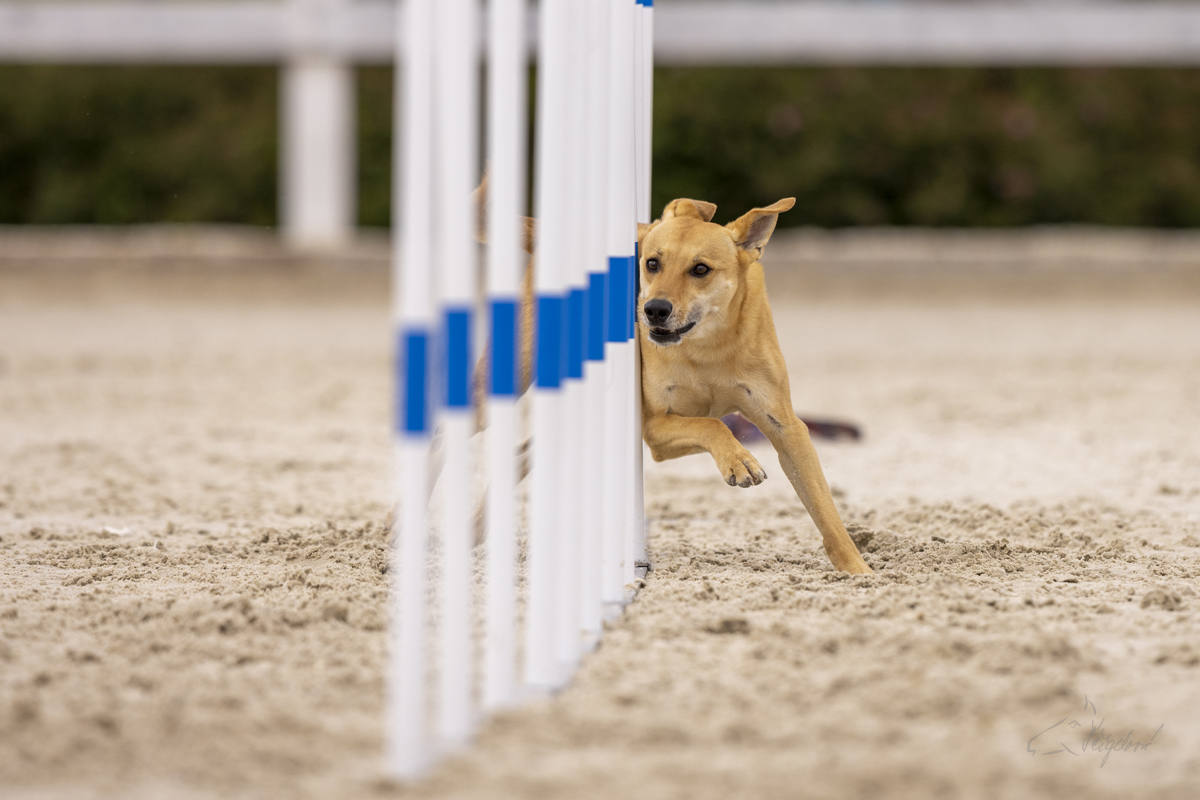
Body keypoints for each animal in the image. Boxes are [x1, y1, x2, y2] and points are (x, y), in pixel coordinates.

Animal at [638, 200, 873, 575]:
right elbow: (711, 423)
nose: (655, 310)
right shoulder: (655, 427)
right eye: (652, 264)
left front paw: (858, 571)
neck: (708, 347)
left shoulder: (786, 426)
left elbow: (825, 508)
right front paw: (739, 461)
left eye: (700, 269)